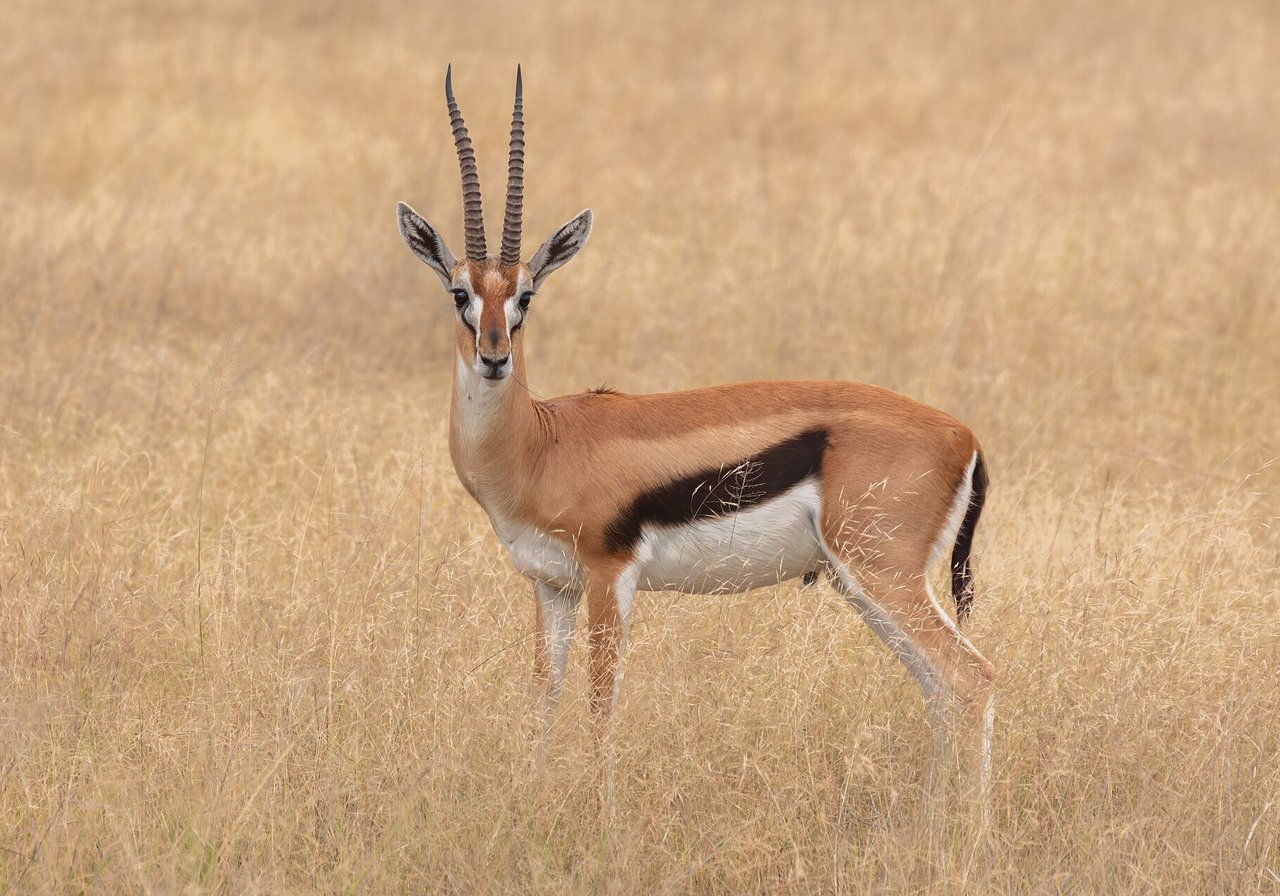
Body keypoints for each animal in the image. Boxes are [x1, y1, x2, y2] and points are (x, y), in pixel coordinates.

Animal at [396, 66, 996, 803]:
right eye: (460, 293)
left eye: (526, 295)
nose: (494, 355)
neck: (540, 444)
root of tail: (964, 435)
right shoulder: (552, 586)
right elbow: (542, 700)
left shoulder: (609, 576)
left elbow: (600, 707)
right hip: (865, 585)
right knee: (941, 691)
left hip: (882, 575)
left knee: (973, 679)